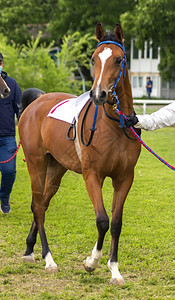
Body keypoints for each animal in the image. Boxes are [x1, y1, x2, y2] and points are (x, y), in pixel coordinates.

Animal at [18, 22, 141, 284]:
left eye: (118, 59)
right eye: (94, 58)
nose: (98, 94)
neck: (114, 124)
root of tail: (38, 101)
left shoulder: (124, 178)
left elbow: (116, 223)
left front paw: (115, 270)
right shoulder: (92, 175)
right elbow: (102, 220)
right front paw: (91, 262)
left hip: (56, 168)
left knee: (42, 204)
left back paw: (30, 249)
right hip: (36, 164)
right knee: (38, 207)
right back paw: (48, 259)